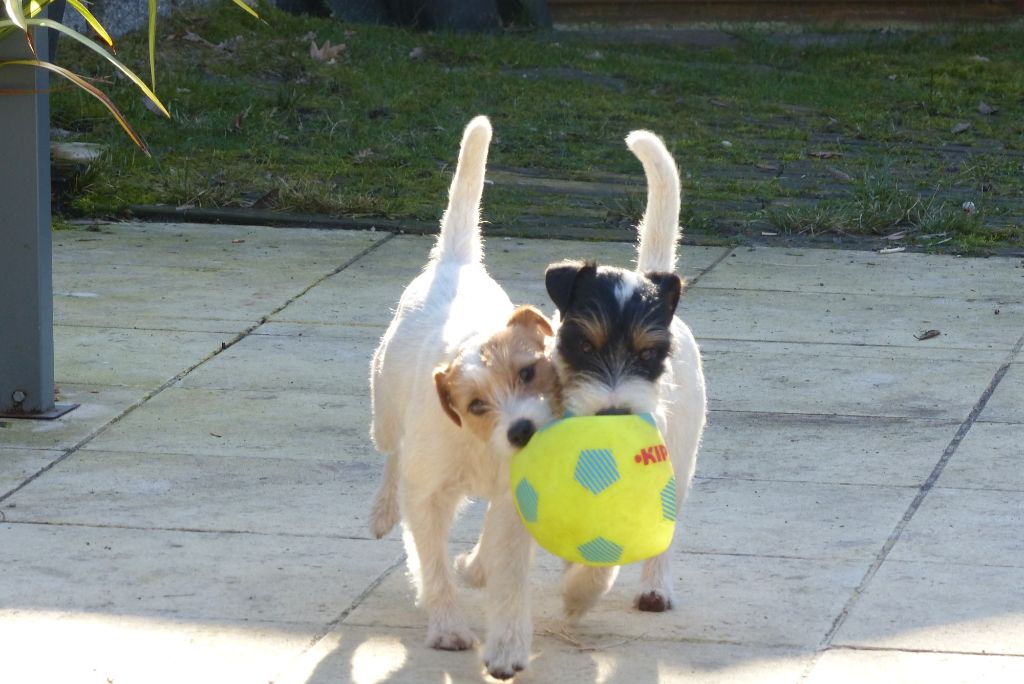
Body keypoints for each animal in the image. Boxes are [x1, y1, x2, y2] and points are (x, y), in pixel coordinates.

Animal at [368, 116, 561, 679]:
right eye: (475, 404)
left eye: (528, 372)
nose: (522, 429)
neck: (481, 446)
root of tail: (455, 263)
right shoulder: (428, 495)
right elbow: (430, 561)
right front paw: (449, 626)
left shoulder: (517, 498)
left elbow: (509, 571)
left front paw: (507, 645)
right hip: (383, 412)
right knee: (391, 456)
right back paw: (382, 510)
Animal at [544, 131, 704, 622]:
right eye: (584, 346)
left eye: (648, 353)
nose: (613, 413)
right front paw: (574, 583)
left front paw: (582, 591)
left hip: (681, 458)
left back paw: (655, 588)